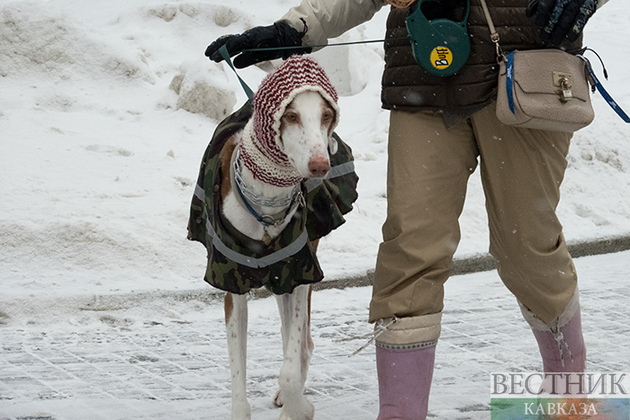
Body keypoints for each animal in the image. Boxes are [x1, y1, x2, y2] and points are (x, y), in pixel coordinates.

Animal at [186, 56, 356, 420]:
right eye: (290, 116)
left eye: (326, 115)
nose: (320, 166)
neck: (267, 204)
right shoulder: (231, 281)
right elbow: (238, 367)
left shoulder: (299, 268)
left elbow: (290, 368)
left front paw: (299, 407)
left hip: (294, 271)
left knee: (302, 342)